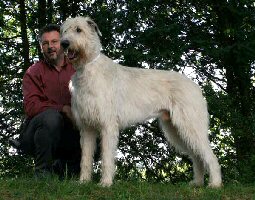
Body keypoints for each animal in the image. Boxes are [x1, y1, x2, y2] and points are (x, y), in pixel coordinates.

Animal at [59, 16, 221, 188]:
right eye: (64, 30)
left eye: (79, 30)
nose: (64, 43)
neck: (87, 67)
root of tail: (196, 87)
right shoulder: (87, 127)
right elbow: (86, 157)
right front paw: (83, 181)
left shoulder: (108, 125)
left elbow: (107, 157)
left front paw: (106, 183)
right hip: (175, 129)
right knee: (196, 156)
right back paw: (197, 183)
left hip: (190, 124)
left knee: (209, 155)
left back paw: (215, 184)